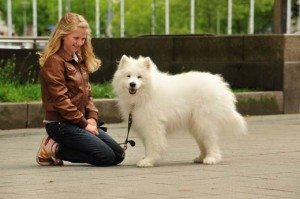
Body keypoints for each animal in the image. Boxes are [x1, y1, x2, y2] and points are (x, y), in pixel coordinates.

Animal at [112, 55, 246, 167]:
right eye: (128, 76)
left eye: (139, 77)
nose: (132, 84)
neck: (146, 95)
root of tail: (220, 85)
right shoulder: (144, 124)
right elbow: (147, 144)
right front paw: (146, 159)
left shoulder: (153, 125)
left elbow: (153, 144)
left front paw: (148, 161)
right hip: (196, 125)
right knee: (203, 142)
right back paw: (201, 158)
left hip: (204, 122)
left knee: (211, 141)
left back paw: (211, 159)